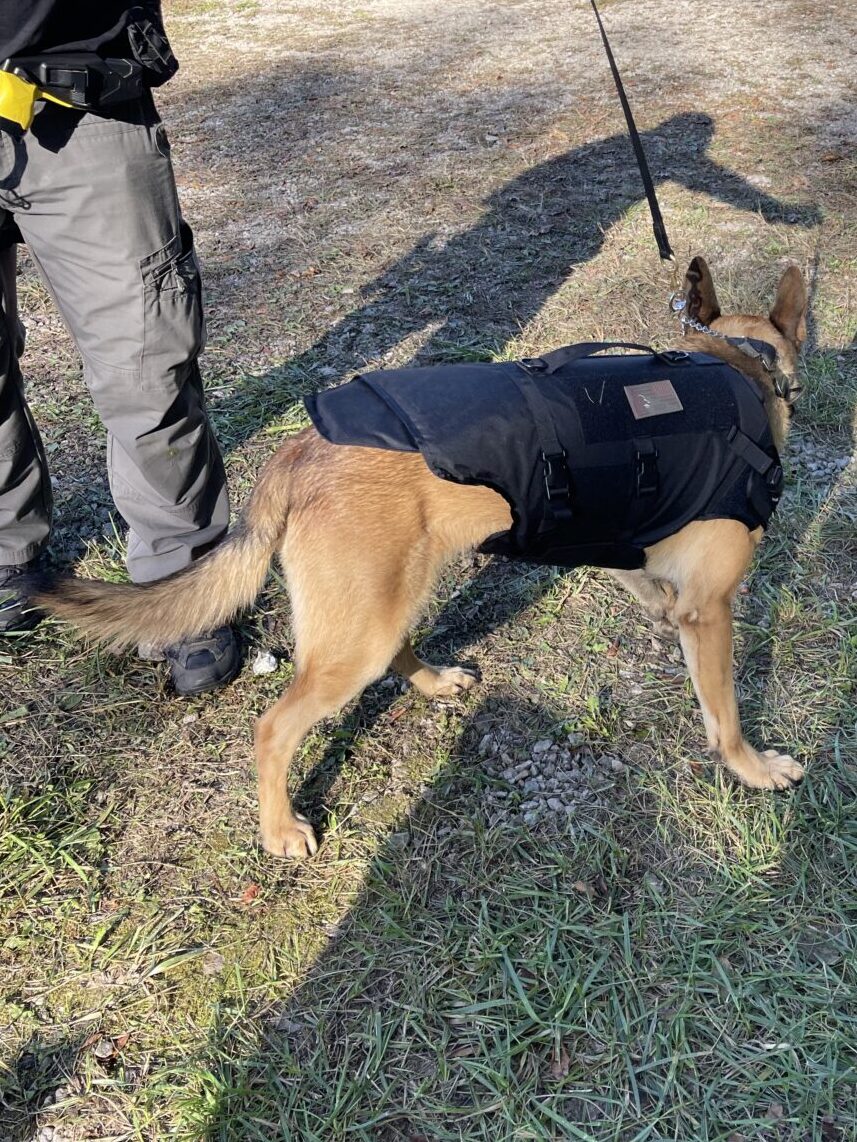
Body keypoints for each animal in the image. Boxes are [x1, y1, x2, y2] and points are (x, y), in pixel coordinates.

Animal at [33, 259, 809, 858]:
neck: (734, 367)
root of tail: (299, 450)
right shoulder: (712, 612)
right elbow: (725, 711)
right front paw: (751, 768)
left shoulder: (619, 537)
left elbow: (645, 584)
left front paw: (654, 612)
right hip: (356, 636)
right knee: (274, 728)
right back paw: (280, 828)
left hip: (384, 600)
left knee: (395, 651)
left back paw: (432, 682)